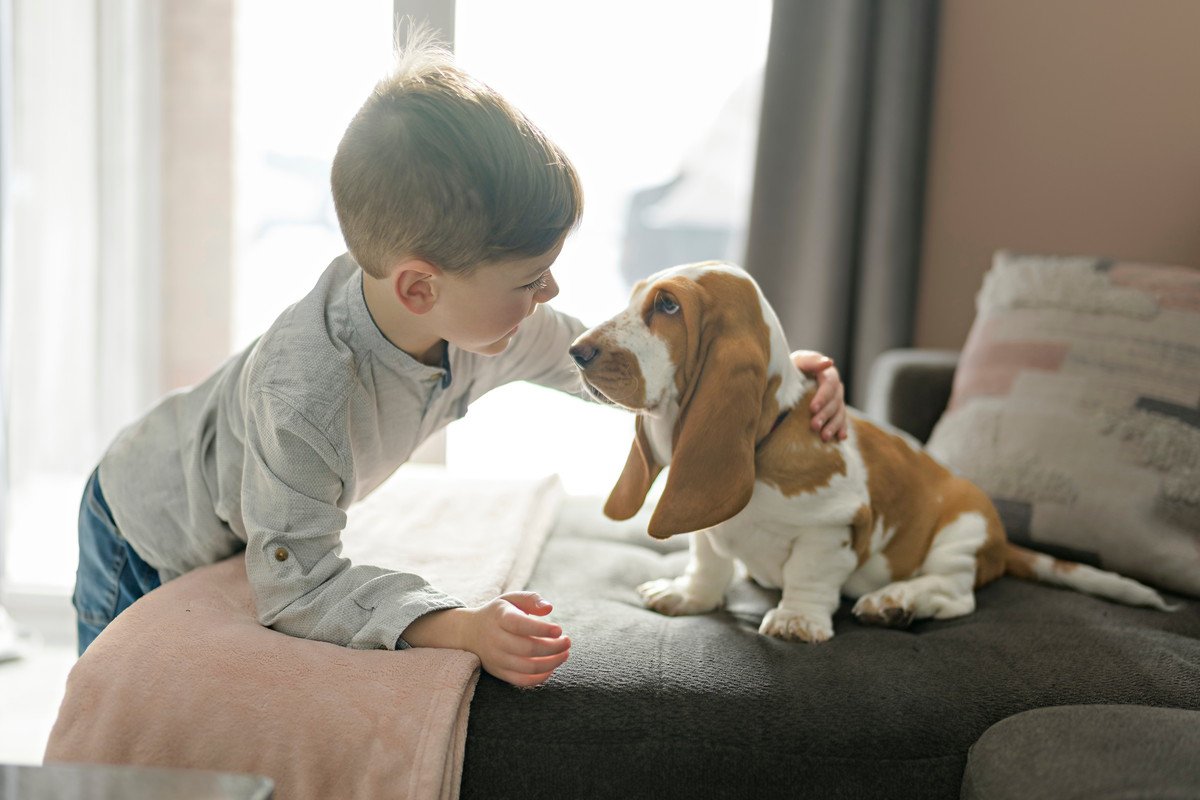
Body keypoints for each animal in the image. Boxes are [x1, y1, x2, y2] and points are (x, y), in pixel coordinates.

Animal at [568, 262, 1171, 642]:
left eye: (668, 305)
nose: (577, 350)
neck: (767, 438)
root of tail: (1004, 545)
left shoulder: (833, 528)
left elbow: (810, 573)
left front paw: (796, 622)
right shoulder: (708, 531)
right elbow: (708, 559)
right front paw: (688, 595)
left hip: (963, 528)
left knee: (957, 593)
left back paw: (896, 603)